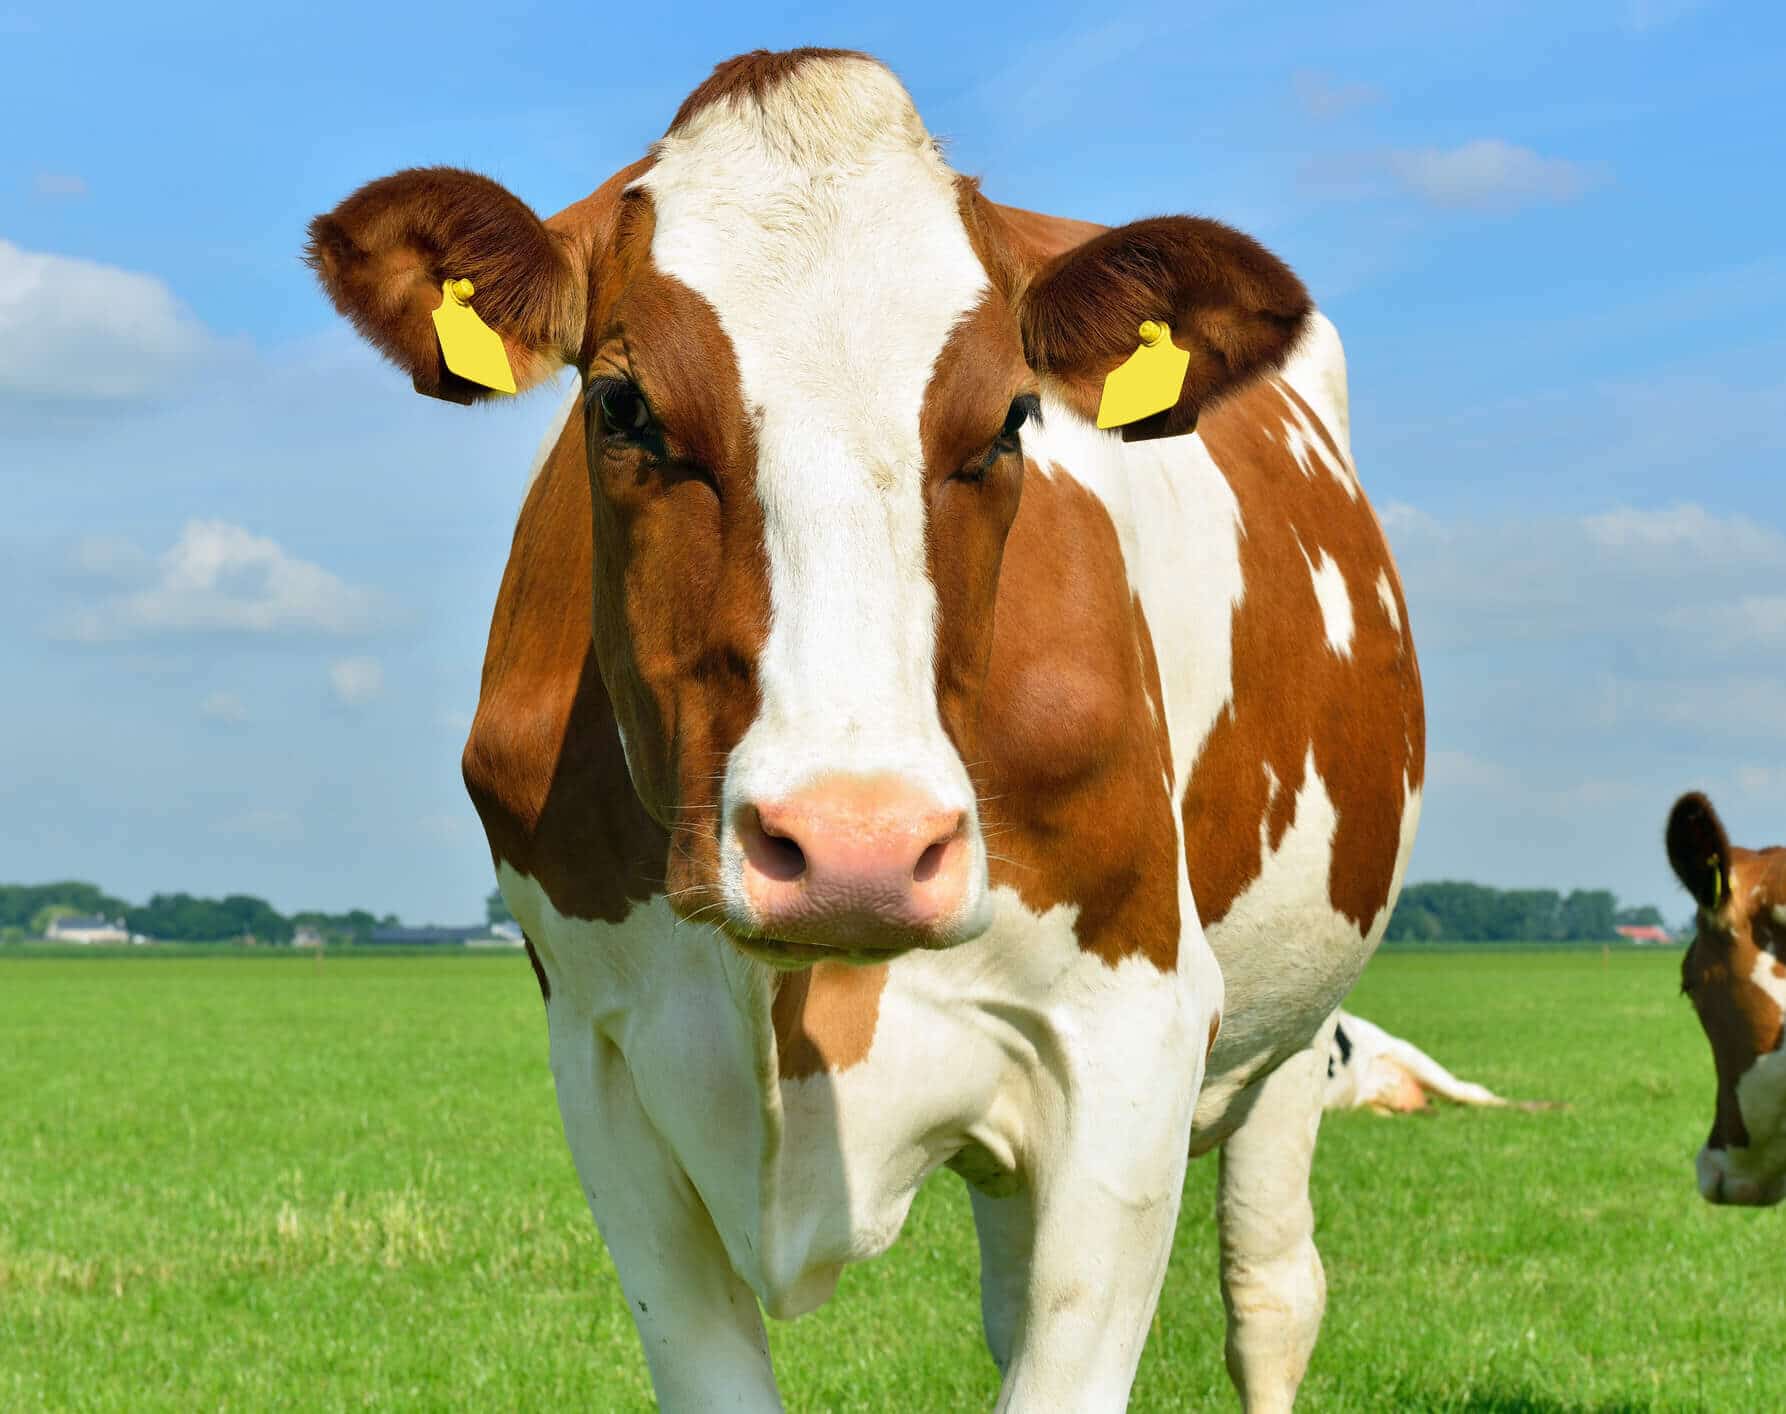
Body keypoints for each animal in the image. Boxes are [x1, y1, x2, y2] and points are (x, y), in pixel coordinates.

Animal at [307, 46, 1421, 1414]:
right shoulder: (604, 1062)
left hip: (1295, 1028)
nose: (857, 850)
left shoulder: (1134, 1034)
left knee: (1271, 1299)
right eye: (620, 406)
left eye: (1010, 420)